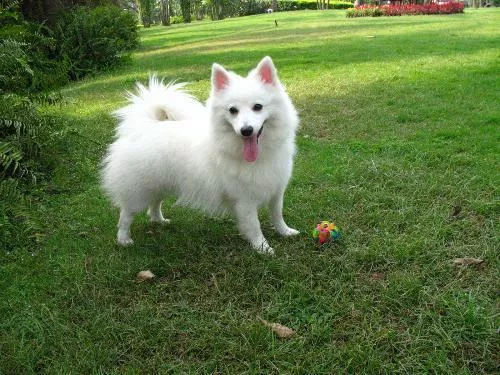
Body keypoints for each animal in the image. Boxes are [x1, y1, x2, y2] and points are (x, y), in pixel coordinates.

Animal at [100, 56, 298, 256]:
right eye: (232, 110)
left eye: (258, 107)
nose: (246, 130)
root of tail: (144, 127)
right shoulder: (244, 200)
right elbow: (254, 226)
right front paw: (263, 248)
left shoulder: (276, 190)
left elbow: (277, 215)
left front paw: (285, 232)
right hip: (139, 191)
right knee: (126, 215)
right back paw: (124, 239)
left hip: (159, 183)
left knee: (154, 205)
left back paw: (160, 221)